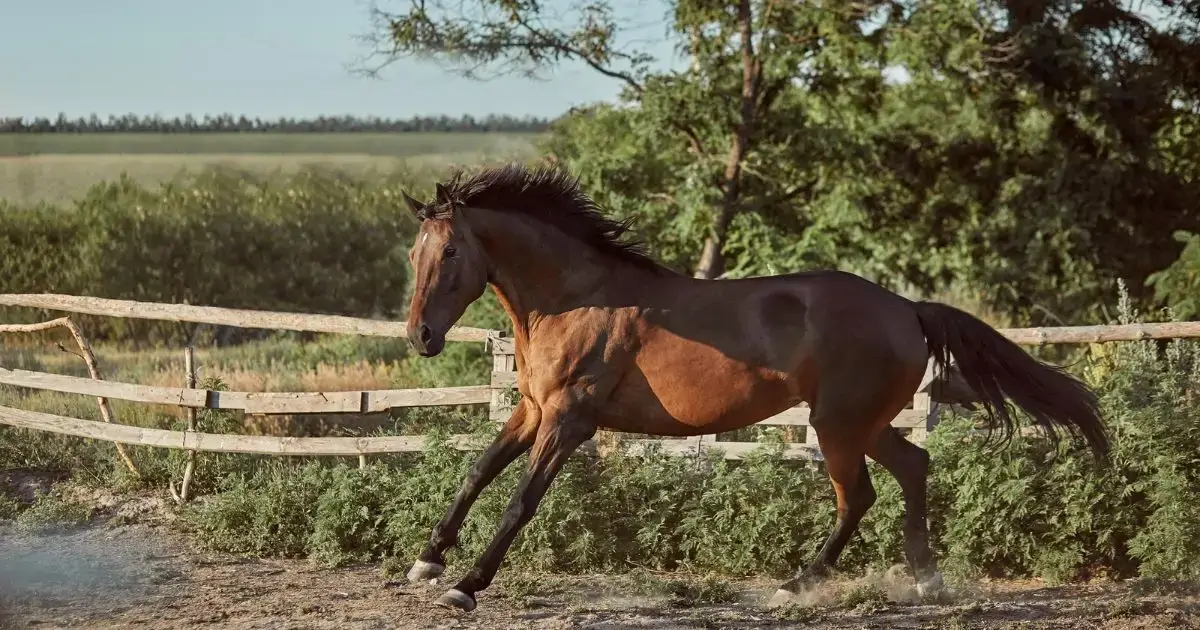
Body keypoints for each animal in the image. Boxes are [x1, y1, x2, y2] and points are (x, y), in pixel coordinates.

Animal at [398, 163, 1110, 612]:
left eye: (452, 252)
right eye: (414, 253)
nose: (421, 337)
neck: (575, 300)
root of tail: (908, 308)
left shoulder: (569, 422)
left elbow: (520, 500)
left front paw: (466, 585)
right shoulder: (531, 410)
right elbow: (477, 473)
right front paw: (427, 562)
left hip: (838, 426)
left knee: (860, 496)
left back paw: (796, 586)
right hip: (864, 423)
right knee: (914, 465)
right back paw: (925, 579)